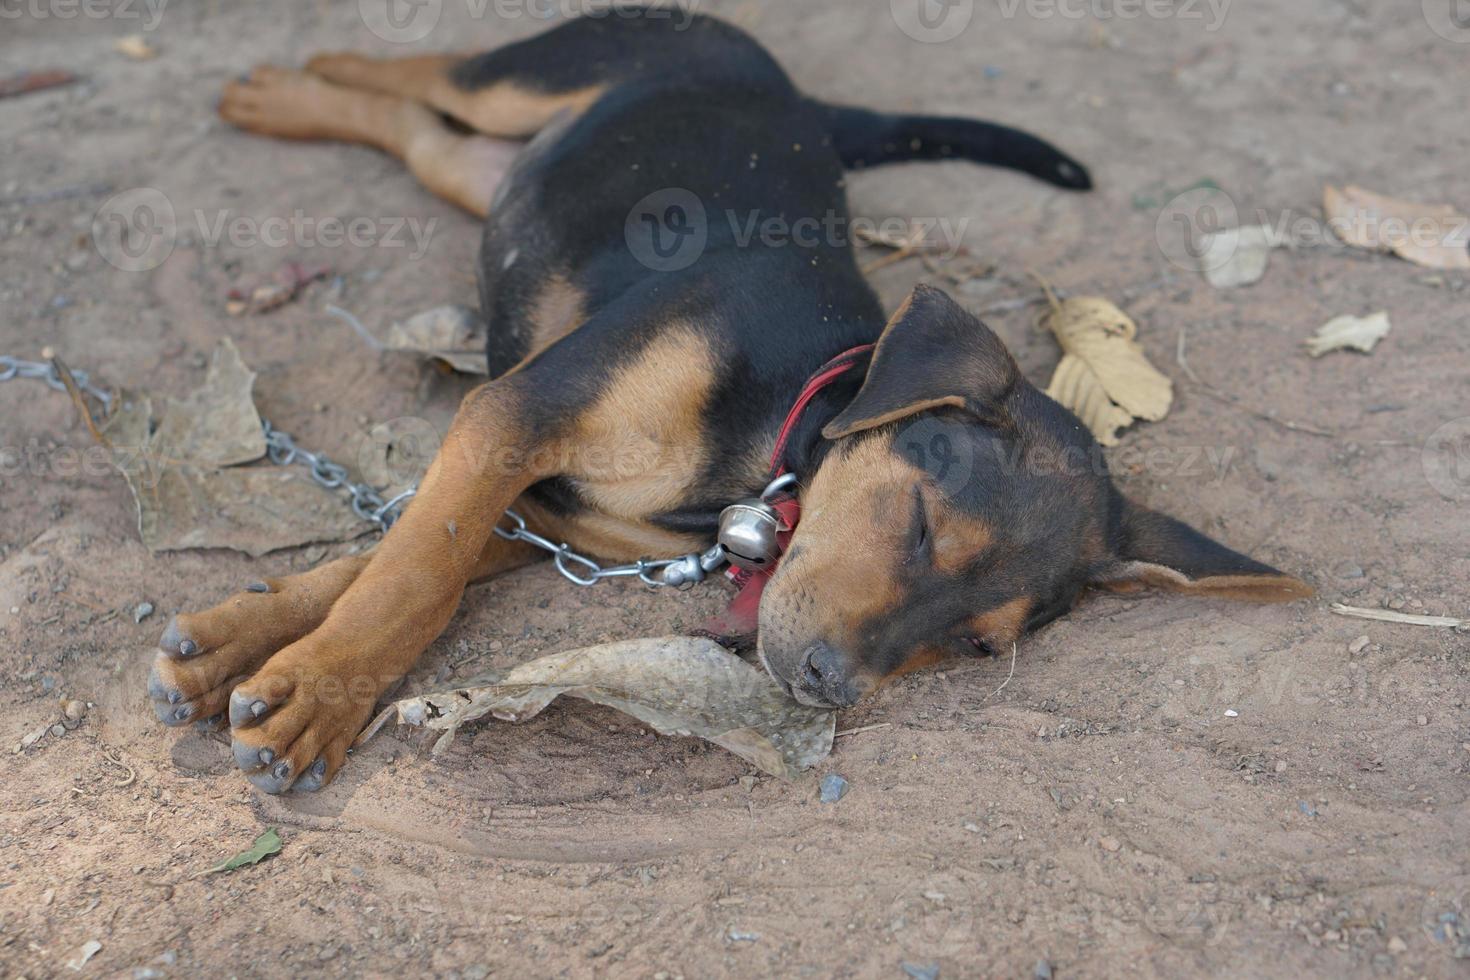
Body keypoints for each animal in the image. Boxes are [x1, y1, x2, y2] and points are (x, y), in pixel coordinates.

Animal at [152, 9, 1311, 799]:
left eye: (980, 646)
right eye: (923, 524)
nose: (830, 685)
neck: (769, 450)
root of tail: (789, 89)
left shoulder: (552, 513)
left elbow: (391, 561)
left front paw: (238, 649)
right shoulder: (510, 420)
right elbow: (412, 575)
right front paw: (317, 692)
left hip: (492, 170)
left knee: (418, 127)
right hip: (542, 74)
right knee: (427, 70)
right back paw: (287, 83)